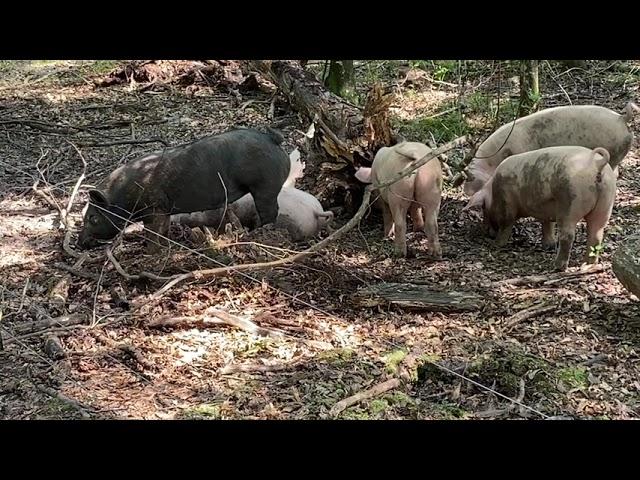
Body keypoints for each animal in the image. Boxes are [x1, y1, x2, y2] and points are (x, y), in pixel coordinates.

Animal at [462, 144, 616, 272]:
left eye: (483, 208)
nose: (486, 232)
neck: (493, 190)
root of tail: (597, 164)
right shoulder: (545, 209)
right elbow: (547, 224)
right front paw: (548, 245)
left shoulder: (507, 201)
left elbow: (506, 224)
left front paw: (495, 244)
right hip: (605, 204)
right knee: (596, 234)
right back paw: (588, 263)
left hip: (570, 203)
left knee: (568, 236)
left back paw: (557, 266)